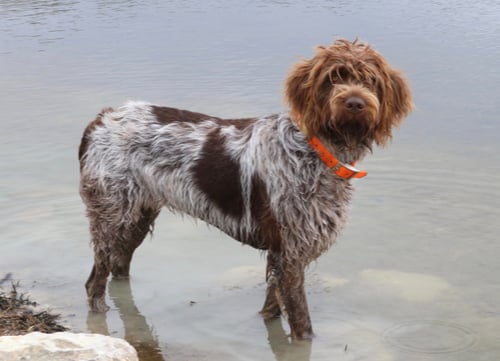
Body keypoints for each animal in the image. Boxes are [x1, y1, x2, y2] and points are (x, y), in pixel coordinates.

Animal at [79, 38, 414, 338]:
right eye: (333, 78)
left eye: (370, 80)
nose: (355, 103)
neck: (315, 150)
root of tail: (102, 117)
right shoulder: (289, 254)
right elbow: (302, 326)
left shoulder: (282, 257)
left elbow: (271, 310)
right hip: (111, 216)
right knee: (95, 281)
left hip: (137, 215)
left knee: (119, 270)